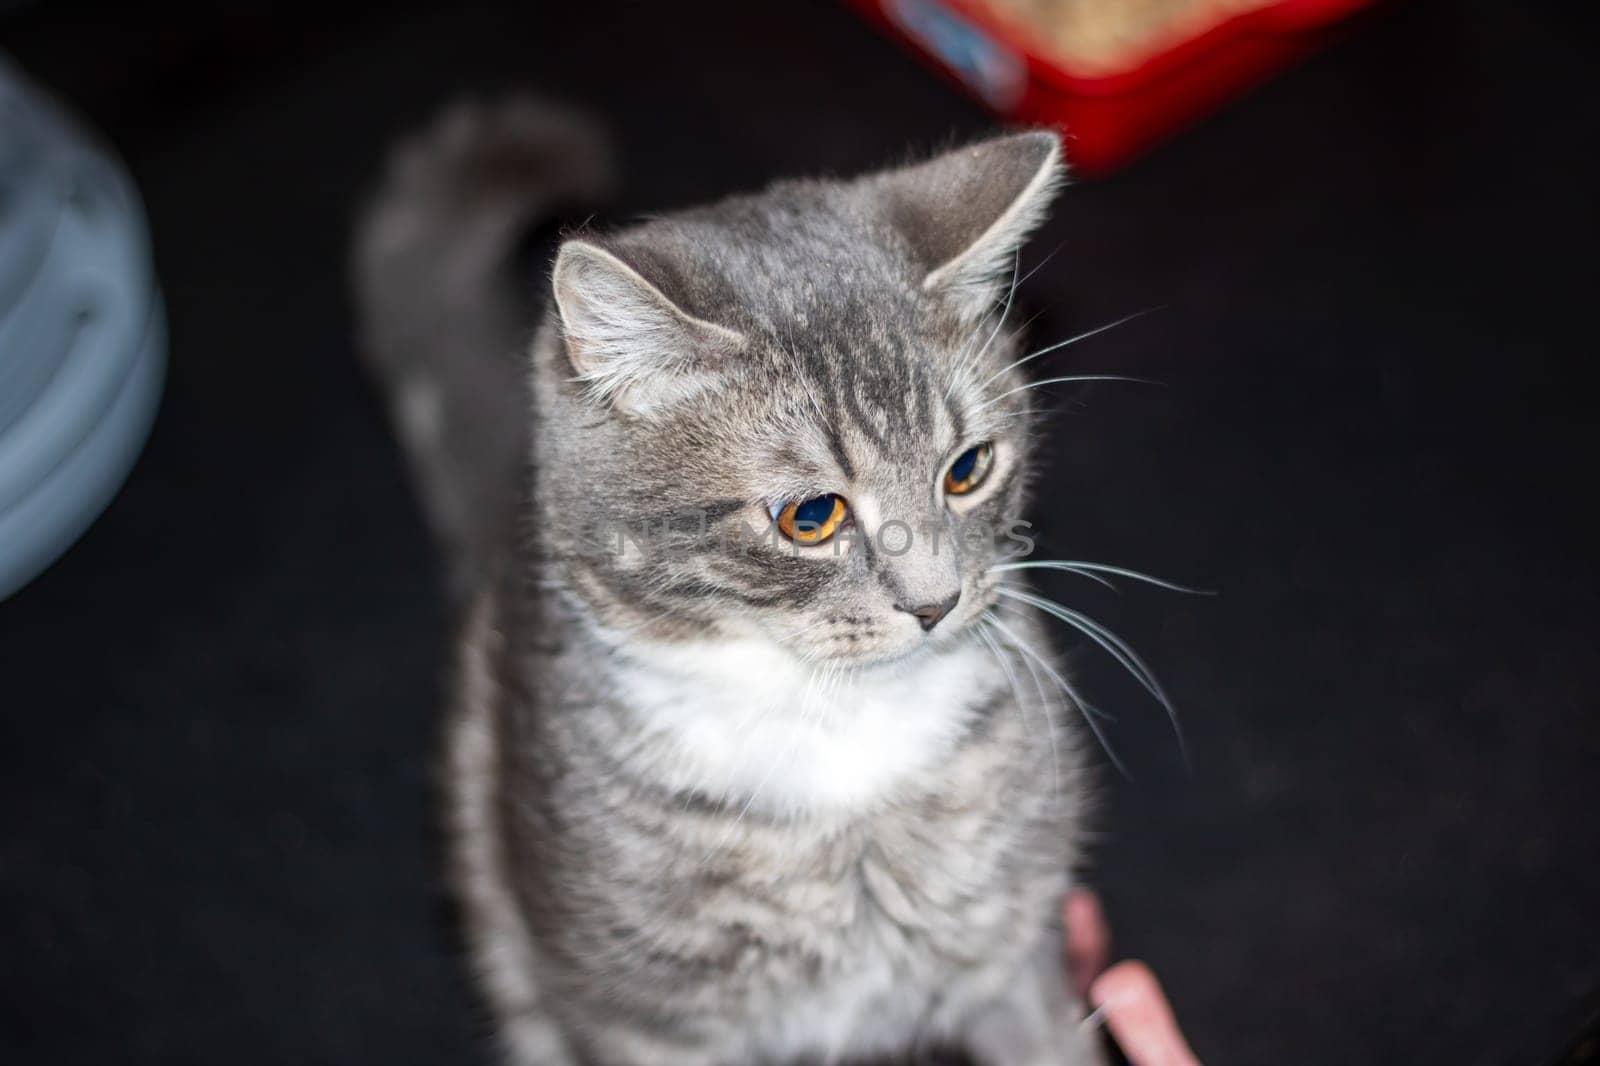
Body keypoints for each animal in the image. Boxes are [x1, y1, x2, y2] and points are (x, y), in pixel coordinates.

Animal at [353, 101, 1100, 1062]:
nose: (936, 601)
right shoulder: (642, 1019)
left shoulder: (1013, 952)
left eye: (968, 469)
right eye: (810, 516)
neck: (839, 728)